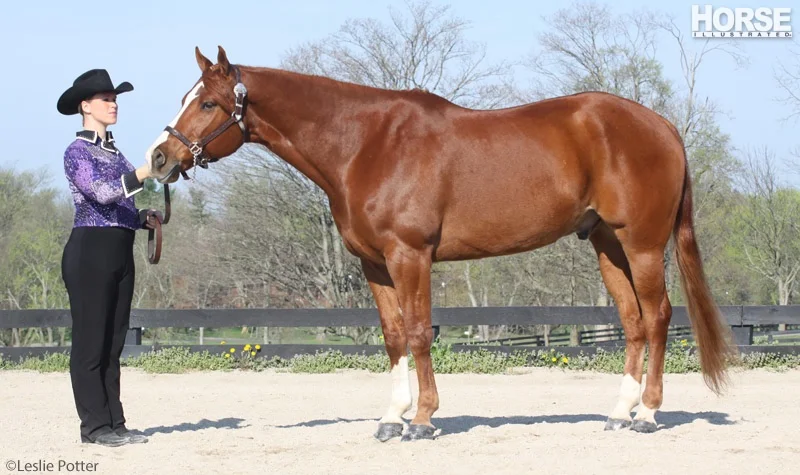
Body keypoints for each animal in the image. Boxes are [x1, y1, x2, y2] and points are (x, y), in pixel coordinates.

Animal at [145, 46, 735, 441]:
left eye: (207, 104)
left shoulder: (411, 256)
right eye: (186, 98)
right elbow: (392, 337)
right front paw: (391, 419)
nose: (158, 158)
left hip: (642, 245)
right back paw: (619, 413)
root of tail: (662, 126)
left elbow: (418, 333)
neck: (367, 145)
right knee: (633, 322)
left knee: (658, 317)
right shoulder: (374, 264)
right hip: (607, 245)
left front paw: (424, 420)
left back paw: (650, 413)